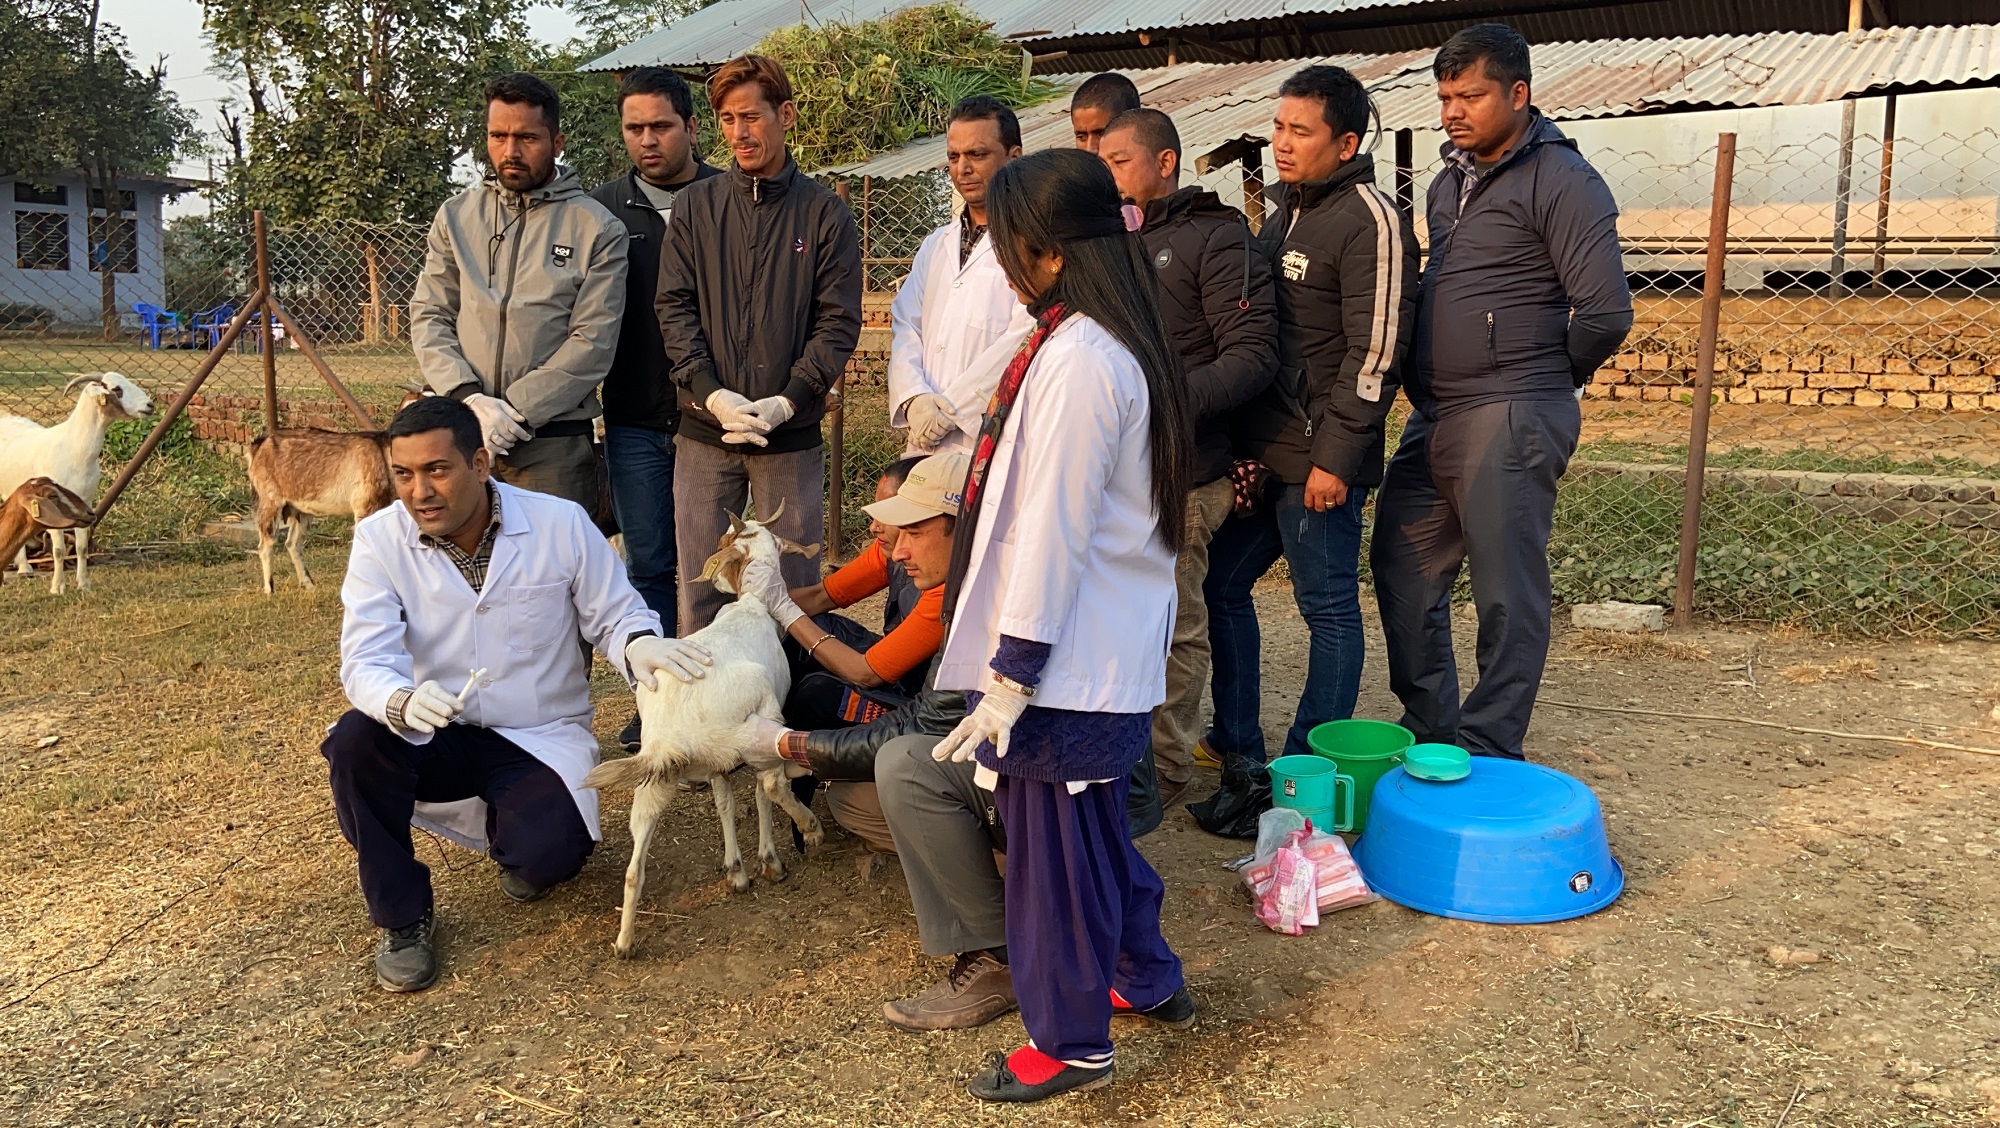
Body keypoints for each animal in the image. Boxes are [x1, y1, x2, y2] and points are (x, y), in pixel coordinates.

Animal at [0, 374, 154, 596]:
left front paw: (84, 584)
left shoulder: (85, 503)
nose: (150, 405)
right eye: (117, 389)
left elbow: (81, 547)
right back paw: (24, 568)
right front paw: (57, 587)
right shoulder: (51, 510)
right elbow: (58, 550)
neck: (73, 448)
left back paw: (25, 568)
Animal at [584, 506, 824, 956]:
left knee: (634, 868)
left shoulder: (716, 765)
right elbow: (756, 795)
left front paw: (736, 870)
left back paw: (624, 942)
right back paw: (807, 828)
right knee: (771, 784)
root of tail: (670, 734)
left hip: (654, 782)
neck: (751, 606)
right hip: (760, 712)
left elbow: (724, 803)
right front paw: (766, 860)